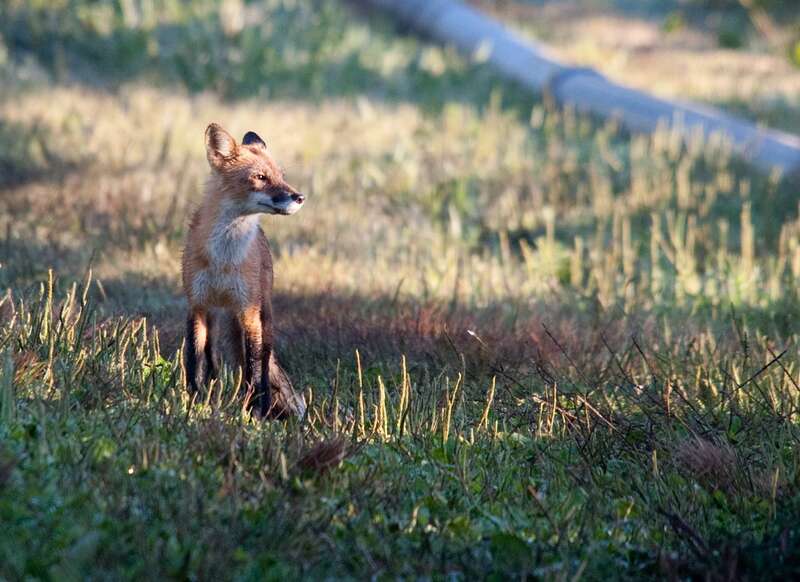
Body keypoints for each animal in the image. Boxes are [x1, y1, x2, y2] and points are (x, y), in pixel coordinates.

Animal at [182, 122, 306, 419]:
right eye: (260, 177)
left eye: (281, 176)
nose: (300, 197)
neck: (223, 259)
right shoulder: (197, 304)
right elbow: (193, 361)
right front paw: (193, 403)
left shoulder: (248, 311)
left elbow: (253, 369)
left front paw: (254, 413)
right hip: (216, 318)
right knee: (212, 361)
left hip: (264, 316)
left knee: (262, 366)